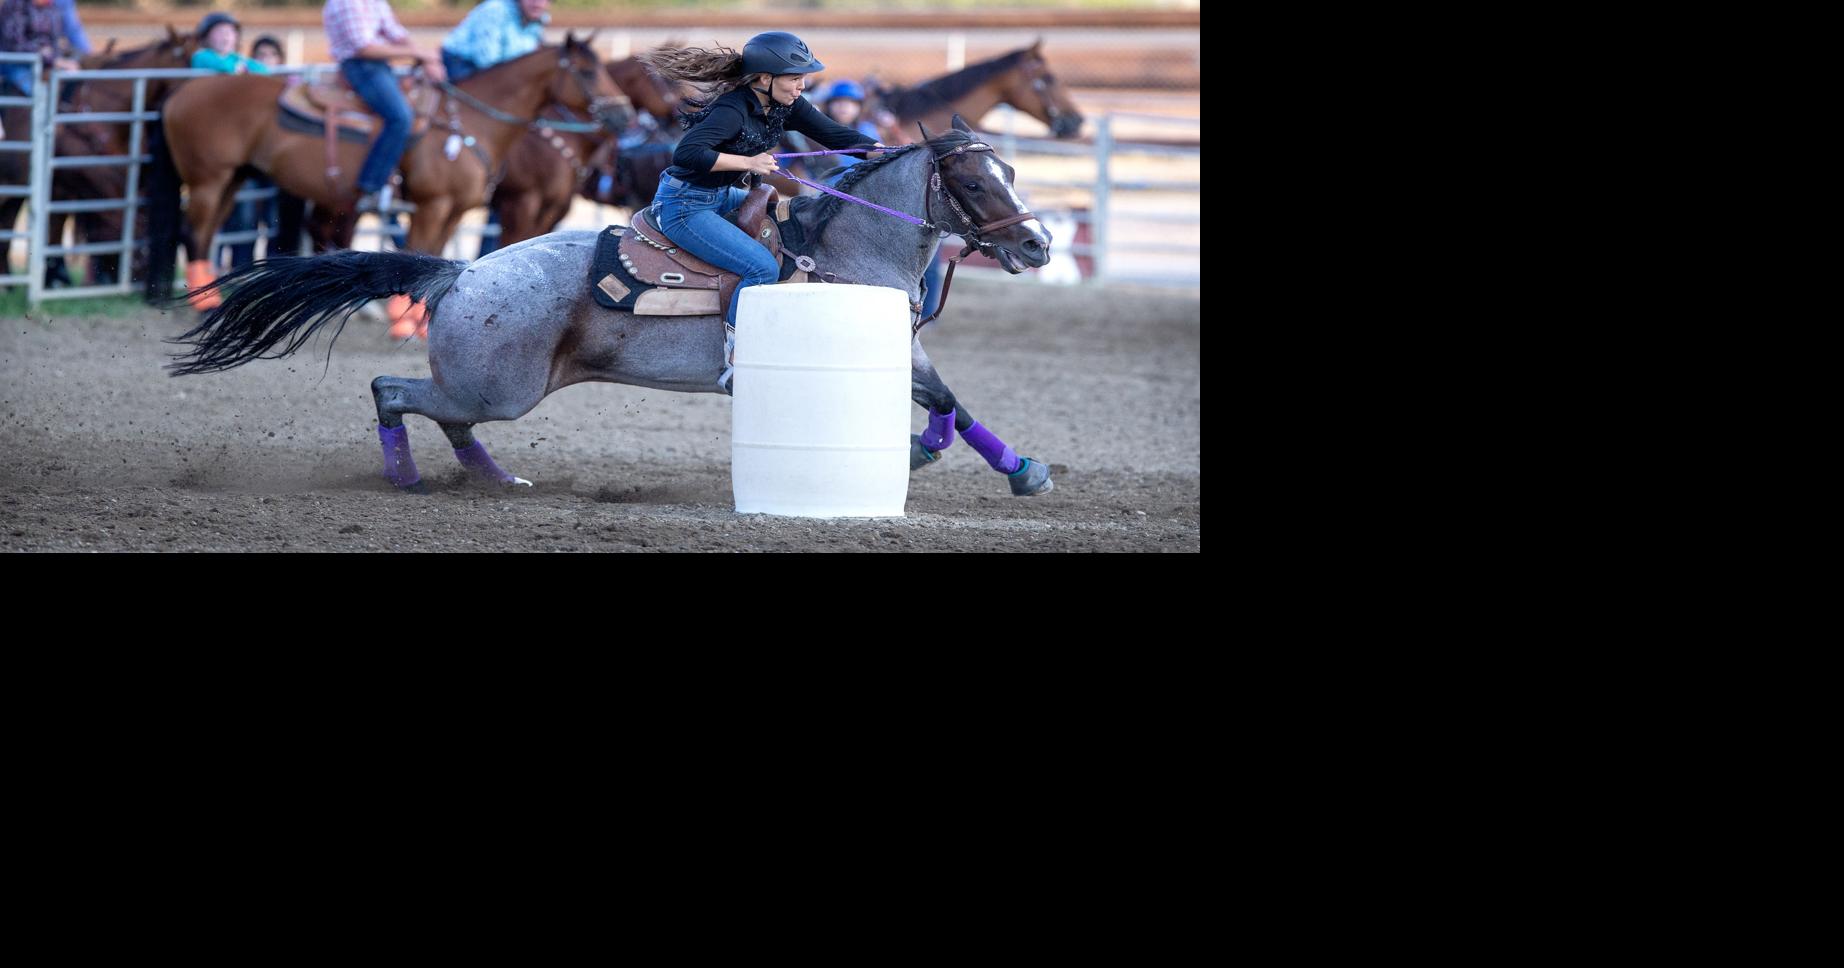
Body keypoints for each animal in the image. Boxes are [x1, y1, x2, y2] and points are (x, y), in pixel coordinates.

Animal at [157, 34, 615, 314]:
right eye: (587, 71)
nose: (622, 112)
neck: (469, 123)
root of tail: (181, 89)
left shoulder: (455, 210)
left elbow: (438, 255)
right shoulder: (438, 205)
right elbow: (425, 249)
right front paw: (404, 321)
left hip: (235, 178)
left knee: (210, 231)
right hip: (209, 178)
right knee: (195, 232)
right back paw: (203, 302)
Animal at [168, 118, 1057, 500]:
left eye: (1010, 169)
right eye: (975, 182)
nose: (1042, 243)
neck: (843, 245)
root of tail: (459, 272)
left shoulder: (905, 350)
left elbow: (951, 402)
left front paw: (1008, 467)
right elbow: (943, 401)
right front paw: (935, 454)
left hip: (493, 390)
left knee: (449, 418)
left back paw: (496, 478)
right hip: (500, 387)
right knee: (393, 393)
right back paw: (410, 478)